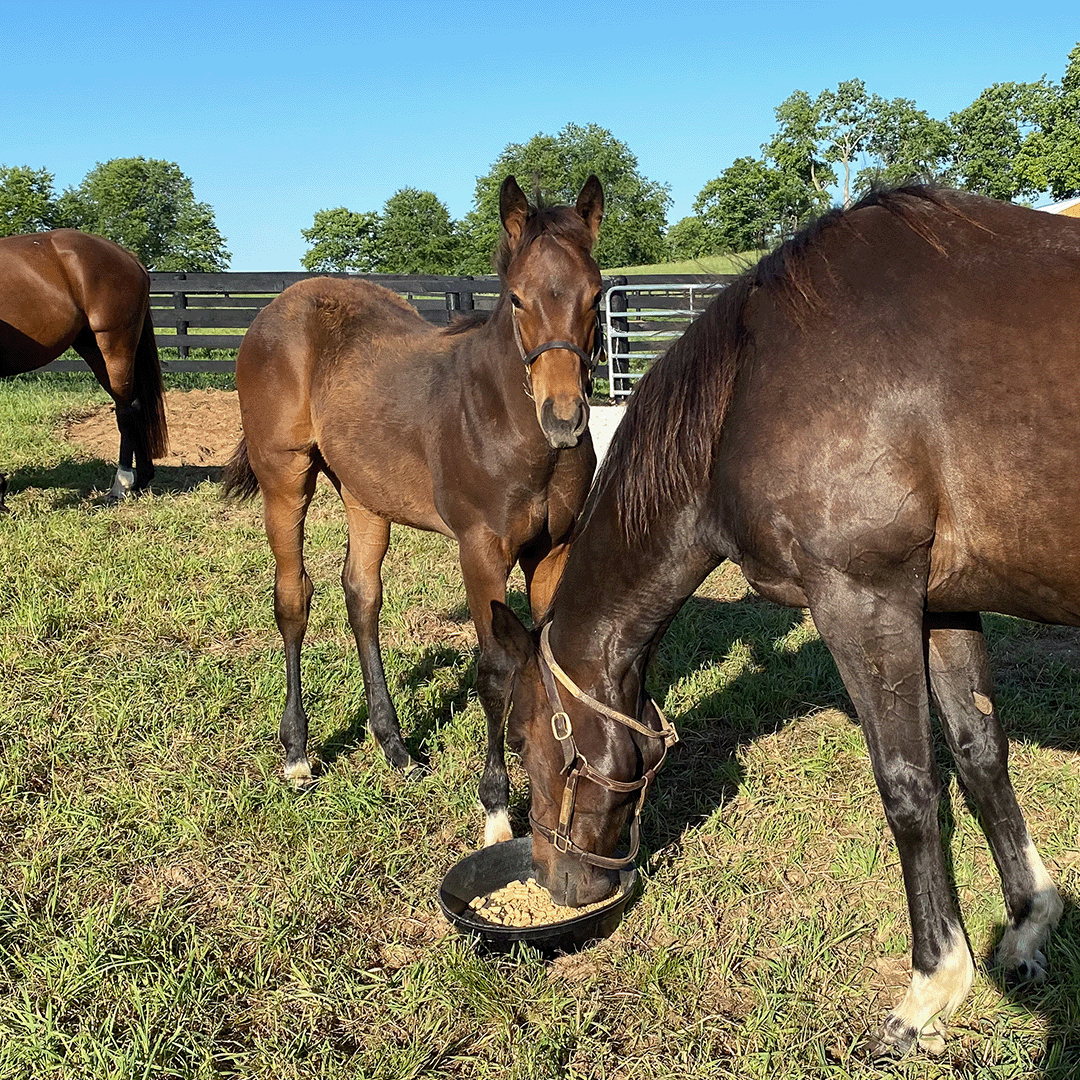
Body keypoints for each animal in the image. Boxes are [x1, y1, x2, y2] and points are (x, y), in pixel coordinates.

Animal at [0, 230, 167, 498]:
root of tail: (129, 258)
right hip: (93, 348)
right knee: (135, 404)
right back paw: (141, 478)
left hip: (115, 345)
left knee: (125, 410)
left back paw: (121, 484)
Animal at [222, 177, 604, 846]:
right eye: (517, 299)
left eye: (597, 294)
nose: (564, 419)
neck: (507, 418)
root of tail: (276, 307)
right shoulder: (481, 551)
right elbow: (495, 670)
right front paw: (497, 809)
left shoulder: (552, 550)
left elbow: (550, 660)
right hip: (285, 479)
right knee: (293, 598)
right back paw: (296, 753)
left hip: (364, 494)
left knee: (361, 596)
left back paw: (394, 746)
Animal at [494, 187, 1075, 1054]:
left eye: (528, 742)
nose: (556, 883)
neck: (747, 386)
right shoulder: (939, 598)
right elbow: (980, 755)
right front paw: (1029, 923)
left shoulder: (862, 596)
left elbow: (908, 786)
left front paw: (931, 987)